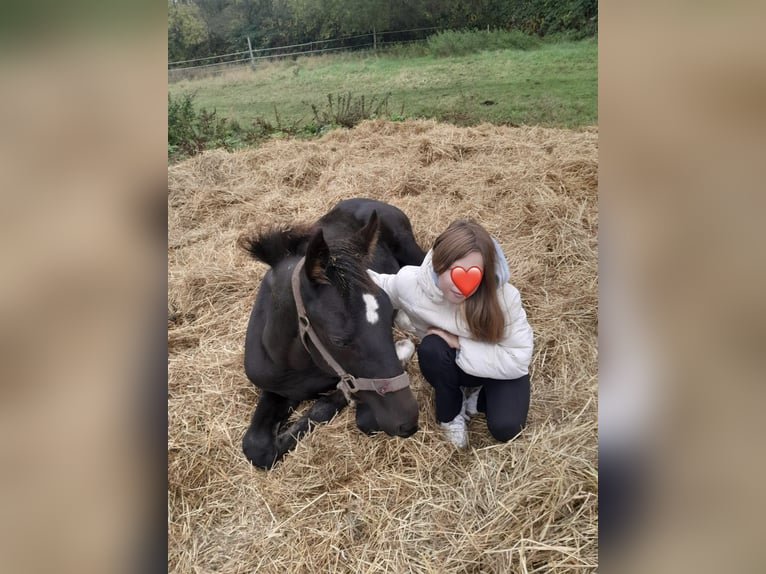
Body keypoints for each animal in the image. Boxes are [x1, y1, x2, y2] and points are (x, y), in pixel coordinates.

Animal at [238, 198, 426, 469]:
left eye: (385, 314)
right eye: (339, 340)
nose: (408, 423)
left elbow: (352, 414)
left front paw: (403, 349)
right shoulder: (276, 389)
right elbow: (256, 447)